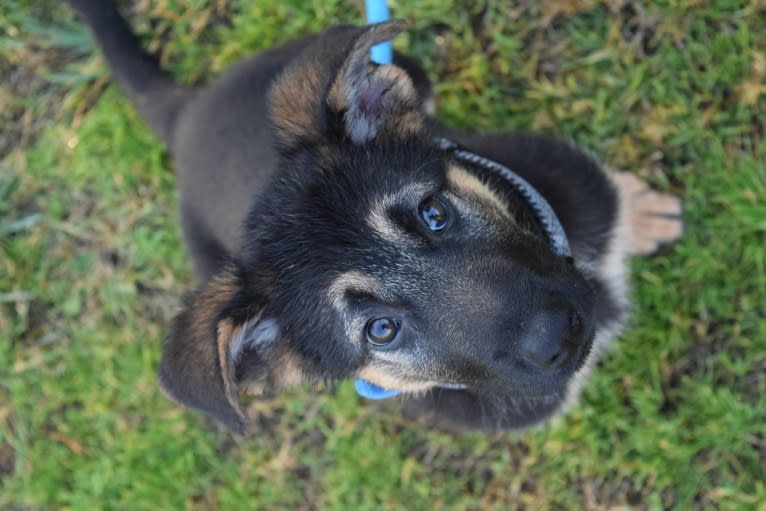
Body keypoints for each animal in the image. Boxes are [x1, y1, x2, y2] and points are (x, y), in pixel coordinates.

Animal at [67, 1, 684, 436]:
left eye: (434, 213)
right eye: (381, 330)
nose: (559, 334)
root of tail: (185, 115)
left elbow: (609, 193)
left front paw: (645, 212)